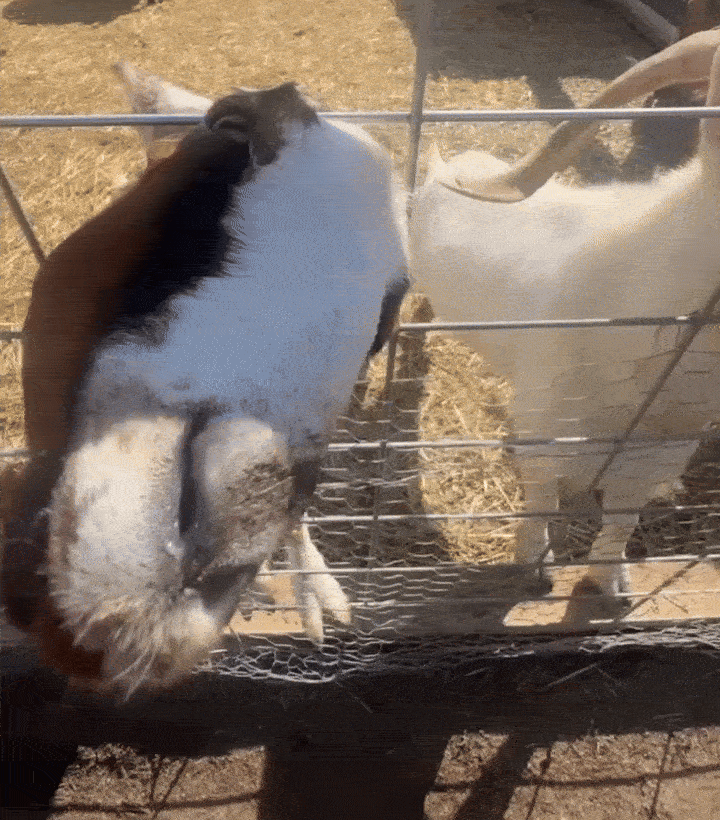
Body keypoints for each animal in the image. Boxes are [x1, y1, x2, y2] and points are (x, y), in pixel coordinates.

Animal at [409, 43, 720, 602]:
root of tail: (464, 159)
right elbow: (541, 506)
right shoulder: (544, 437)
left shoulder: (656, 455)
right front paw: (535, 569)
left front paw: (609, 582)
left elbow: (621, 522)